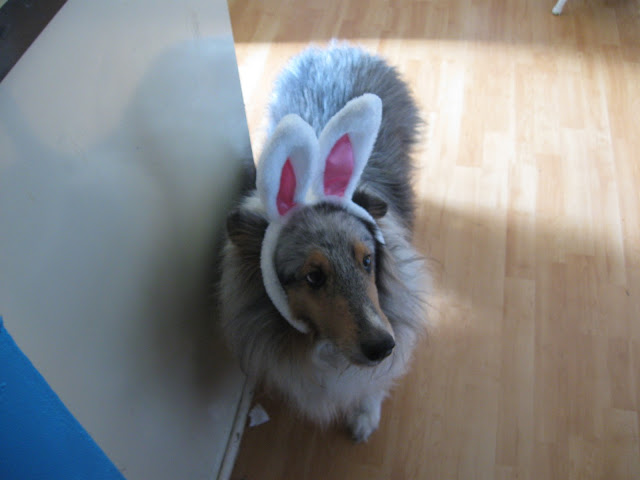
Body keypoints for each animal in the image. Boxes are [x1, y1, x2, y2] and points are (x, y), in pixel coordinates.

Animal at [219, 44, 430, 442]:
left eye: (368, 261)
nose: (384, 347)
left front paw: (364, 418)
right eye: (313, 277)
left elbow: (372, 386)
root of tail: (338, 47)